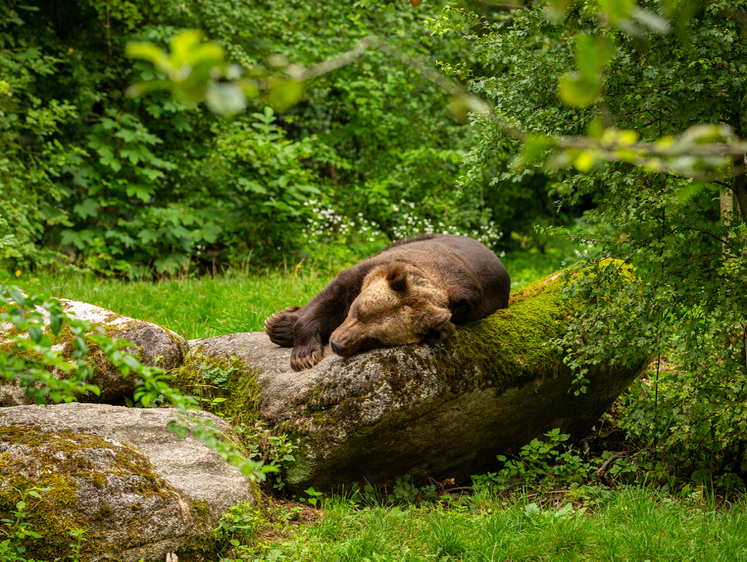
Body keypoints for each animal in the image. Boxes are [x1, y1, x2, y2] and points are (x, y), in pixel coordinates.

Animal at [262, 233, 508, 370]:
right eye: (357, 311)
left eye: (374, 339)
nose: (337, 344)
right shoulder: (370, 269)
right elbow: (329, 299)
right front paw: (303, 353)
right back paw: (279, 320)